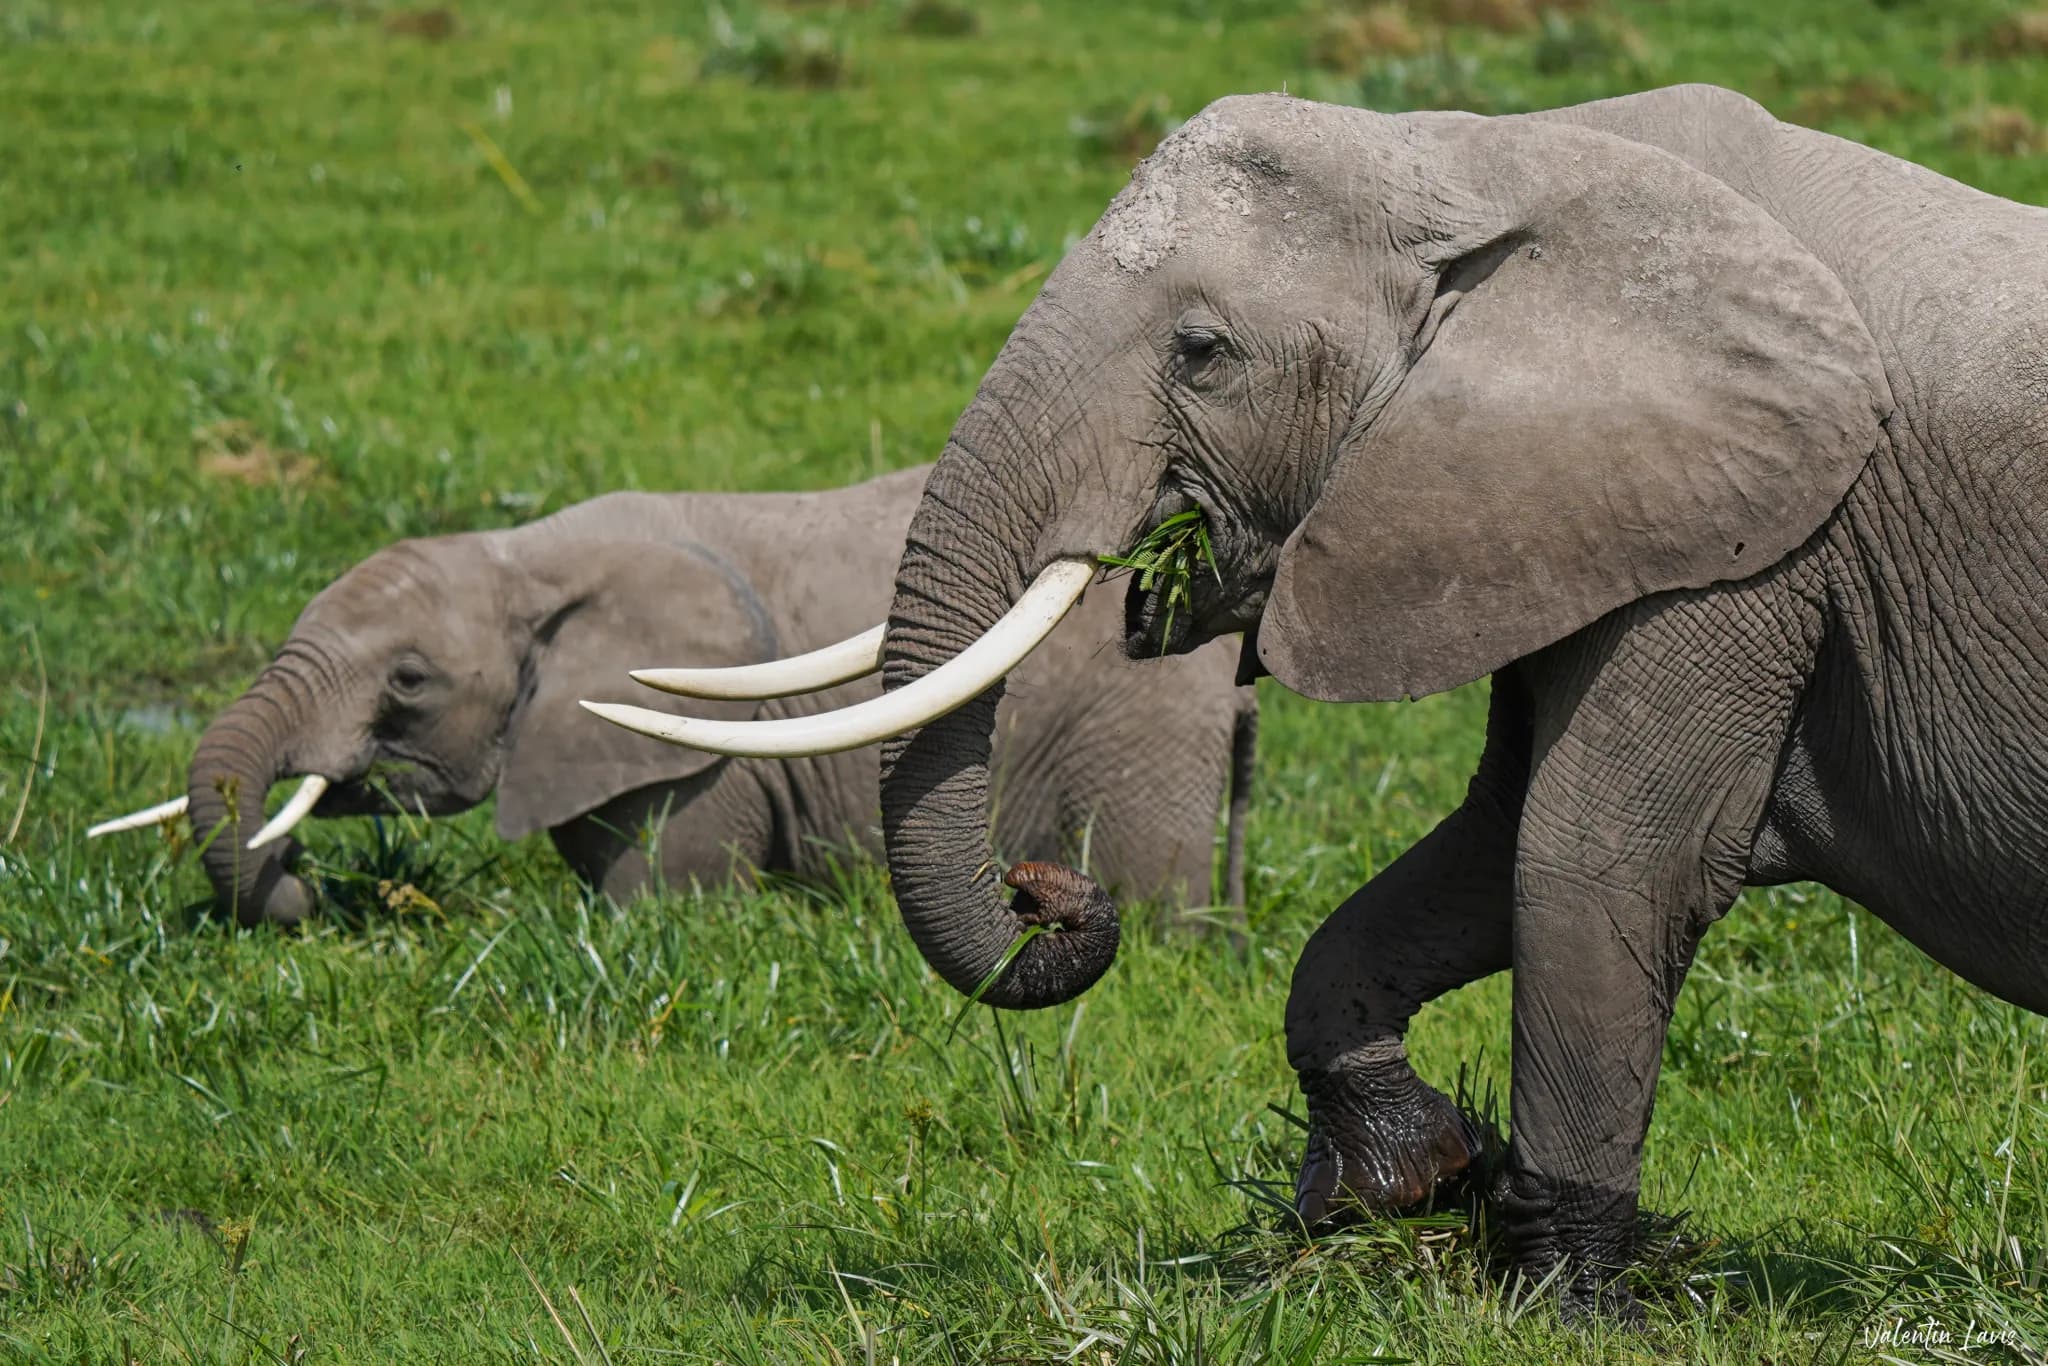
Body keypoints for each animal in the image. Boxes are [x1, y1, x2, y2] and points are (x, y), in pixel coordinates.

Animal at [93, 466, 1256, 927]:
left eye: (408, 683)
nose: (304, 888)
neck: (529, 555)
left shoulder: (705, 762)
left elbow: (662, 899)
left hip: (1134, 723)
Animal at [591, 85, 2048, 1317]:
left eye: (1201, 351)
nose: (1044, 888)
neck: (1493, 156)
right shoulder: (1576, 517)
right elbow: (1485, 845)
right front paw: (1401, 1181)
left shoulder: (1760, 546)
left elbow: (1601, 858)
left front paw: (1564, 1305)